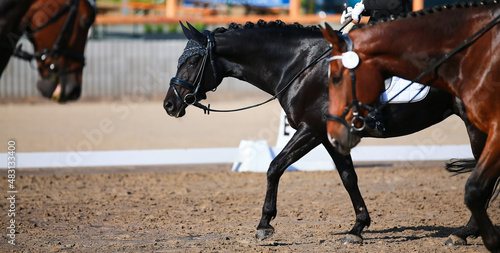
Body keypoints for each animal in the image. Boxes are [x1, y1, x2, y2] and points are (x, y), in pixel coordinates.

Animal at [164, 20, 488, 246]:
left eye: (192, 61)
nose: (169, 104)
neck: (301, 65)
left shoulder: (311, 129)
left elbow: (274, 167)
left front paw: (264, 224)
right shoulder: (327, 136)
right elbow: (348, 177)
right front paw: (357, 228)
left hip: (476, 124)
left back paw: (465, 232)